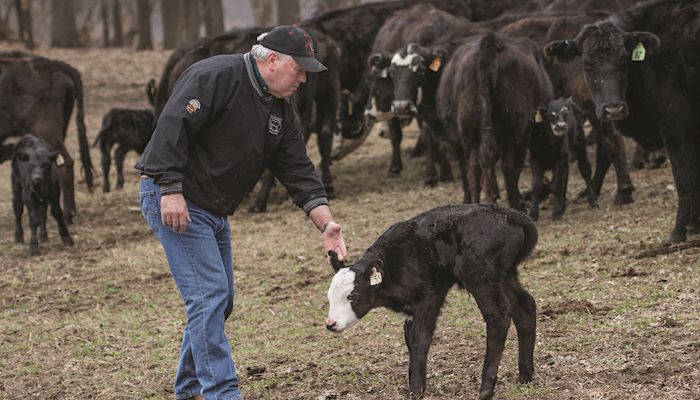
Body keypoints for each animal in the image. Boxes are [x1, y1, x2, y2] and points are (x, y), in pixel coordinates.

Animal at [326, 205, 540, 398]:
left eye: (351, 295)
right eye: (329, 296)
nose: (331, 324)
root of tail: (507, 214)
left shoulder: (428, 299)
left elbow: (420, 338)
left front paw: (416, 390)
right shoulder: (411, 311)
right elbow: (409, 338)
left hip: (481, 276)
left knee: (499, 317)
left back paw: (486, 388)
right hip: (505, 275)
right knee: (525, 308)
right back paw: (525, 376)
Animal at [438, 32, 552, 208]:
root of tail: (489, 42)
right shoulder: (526, 130)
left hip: (468, 129)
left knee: (474, 167)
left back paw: (477, 202)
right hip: (515, 127)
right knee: (507, 166)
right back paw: (515, 204)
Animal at [548, 0, 700, 244]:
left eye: (623, 59)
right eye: (587, 64)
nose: (613, 109)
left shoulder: (676, 127)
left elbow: (684, 177)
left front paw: (678, 232)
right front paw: (694, 225)